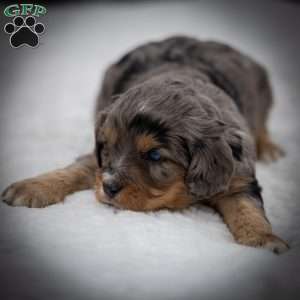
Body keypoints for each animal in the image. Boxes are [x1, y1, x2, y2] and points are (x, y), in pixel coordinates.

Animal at [1, 36, 290, 254]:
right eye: (107, 146)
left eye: (154, 156)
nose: (108, 187)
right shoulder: (99, 162)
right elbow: (74, 169)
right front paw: (32, 187)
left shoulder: (239, 178)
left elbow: (247, 209)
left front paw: (263, 240)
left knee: (262, 125)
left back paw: (269, 148)